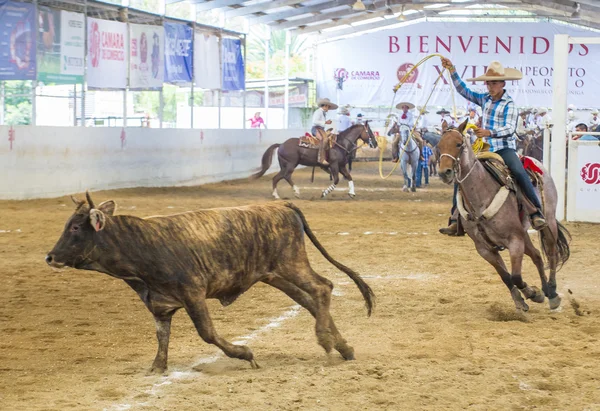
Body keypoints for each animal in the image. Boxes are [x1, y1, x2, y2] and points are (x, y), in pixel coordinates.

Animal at [47, 193, 372, 374]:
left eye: (75, 227)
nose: (50, 257)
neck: (141, 246)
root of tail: (281, 206)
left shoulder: (193, 293)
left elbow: (207, 333)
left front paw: (245, 354)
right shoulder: (160, 306)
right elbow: (162, 338)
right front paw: (157, 368)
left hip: (291, 265)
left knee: (322, 288)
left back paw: (327, 341)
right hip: (276, 275)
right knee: (310, 301)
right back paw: (343, 347)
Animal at [436, 120, 572, 310]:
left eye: (458, 144)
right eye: (439, 146)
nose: (444, 172)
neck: (481, 197)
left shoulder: (515, 240)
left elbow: (516, 276)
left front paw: (533, 293)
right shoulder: (484, 248)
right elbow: (506, 276)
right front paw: (522, 299)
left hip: (549, 222)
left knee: (551, 254)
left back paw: (552, 292)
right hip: (524, 234)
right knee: (537, 255)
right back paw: (545, 289)